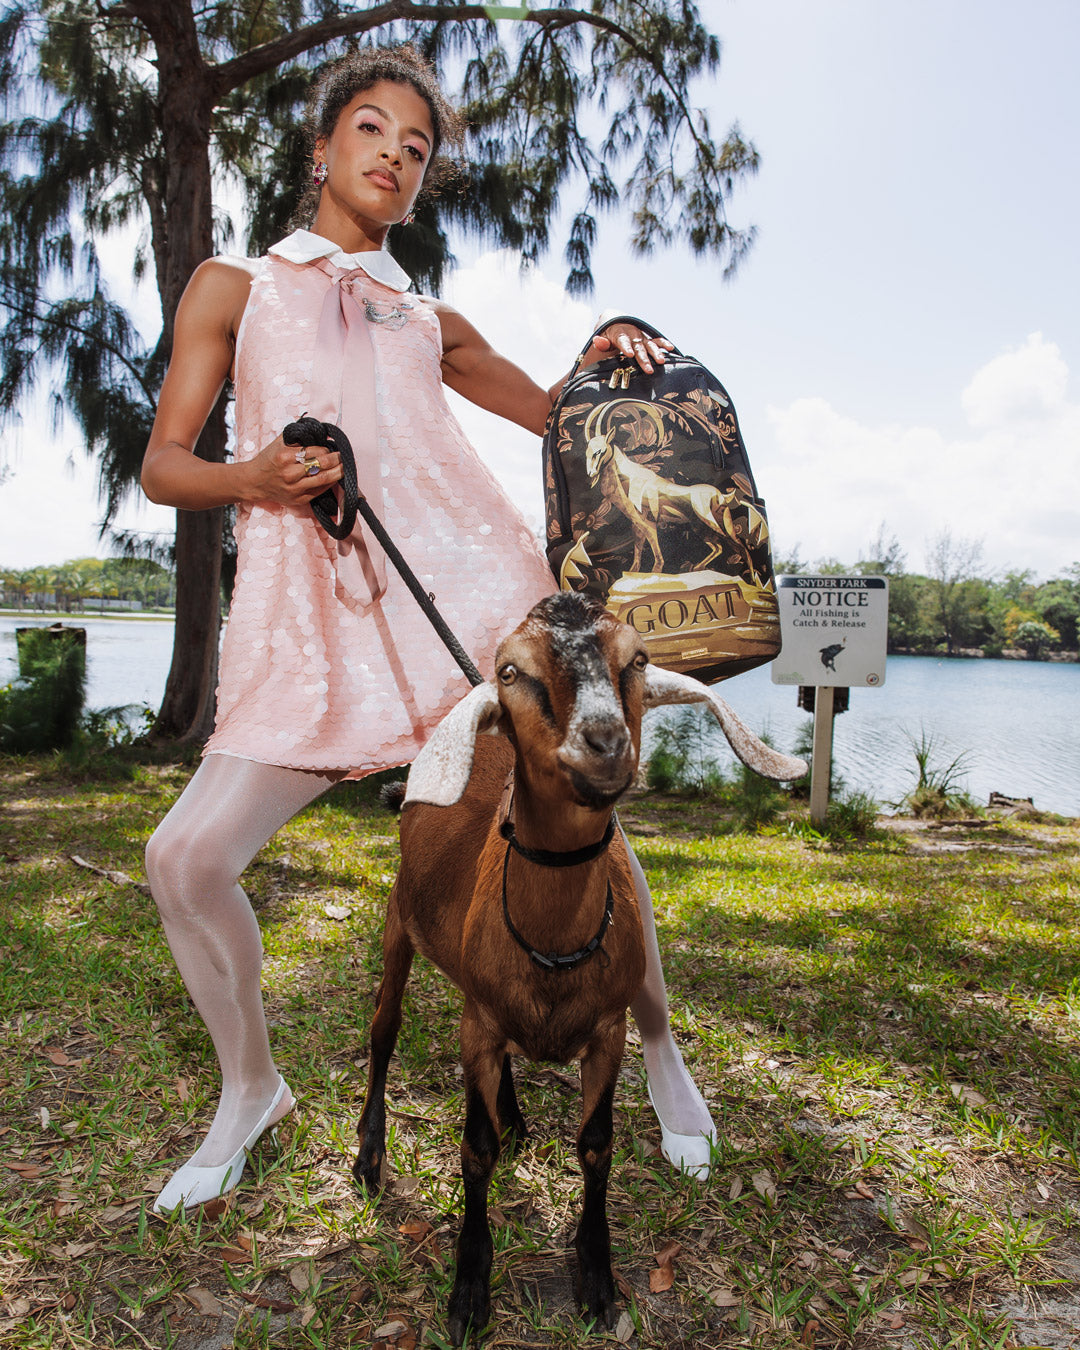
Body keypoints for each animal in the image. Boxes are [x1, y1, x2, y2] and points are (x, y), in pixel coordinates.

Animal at [353, 592, 806, 1345]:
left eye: (639, 660)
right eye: (511, 670)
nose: (604, 743)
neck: (553, 939)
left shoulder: (606, 1030)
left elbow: (596, 1144)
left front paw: (597, 1278)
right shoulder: (477, 1021)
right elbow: (473, 1147)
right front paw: (469, 1290)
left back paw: (513, 1115)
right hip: (398, 927)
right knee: (383, 1033)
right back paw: (368, 1155)